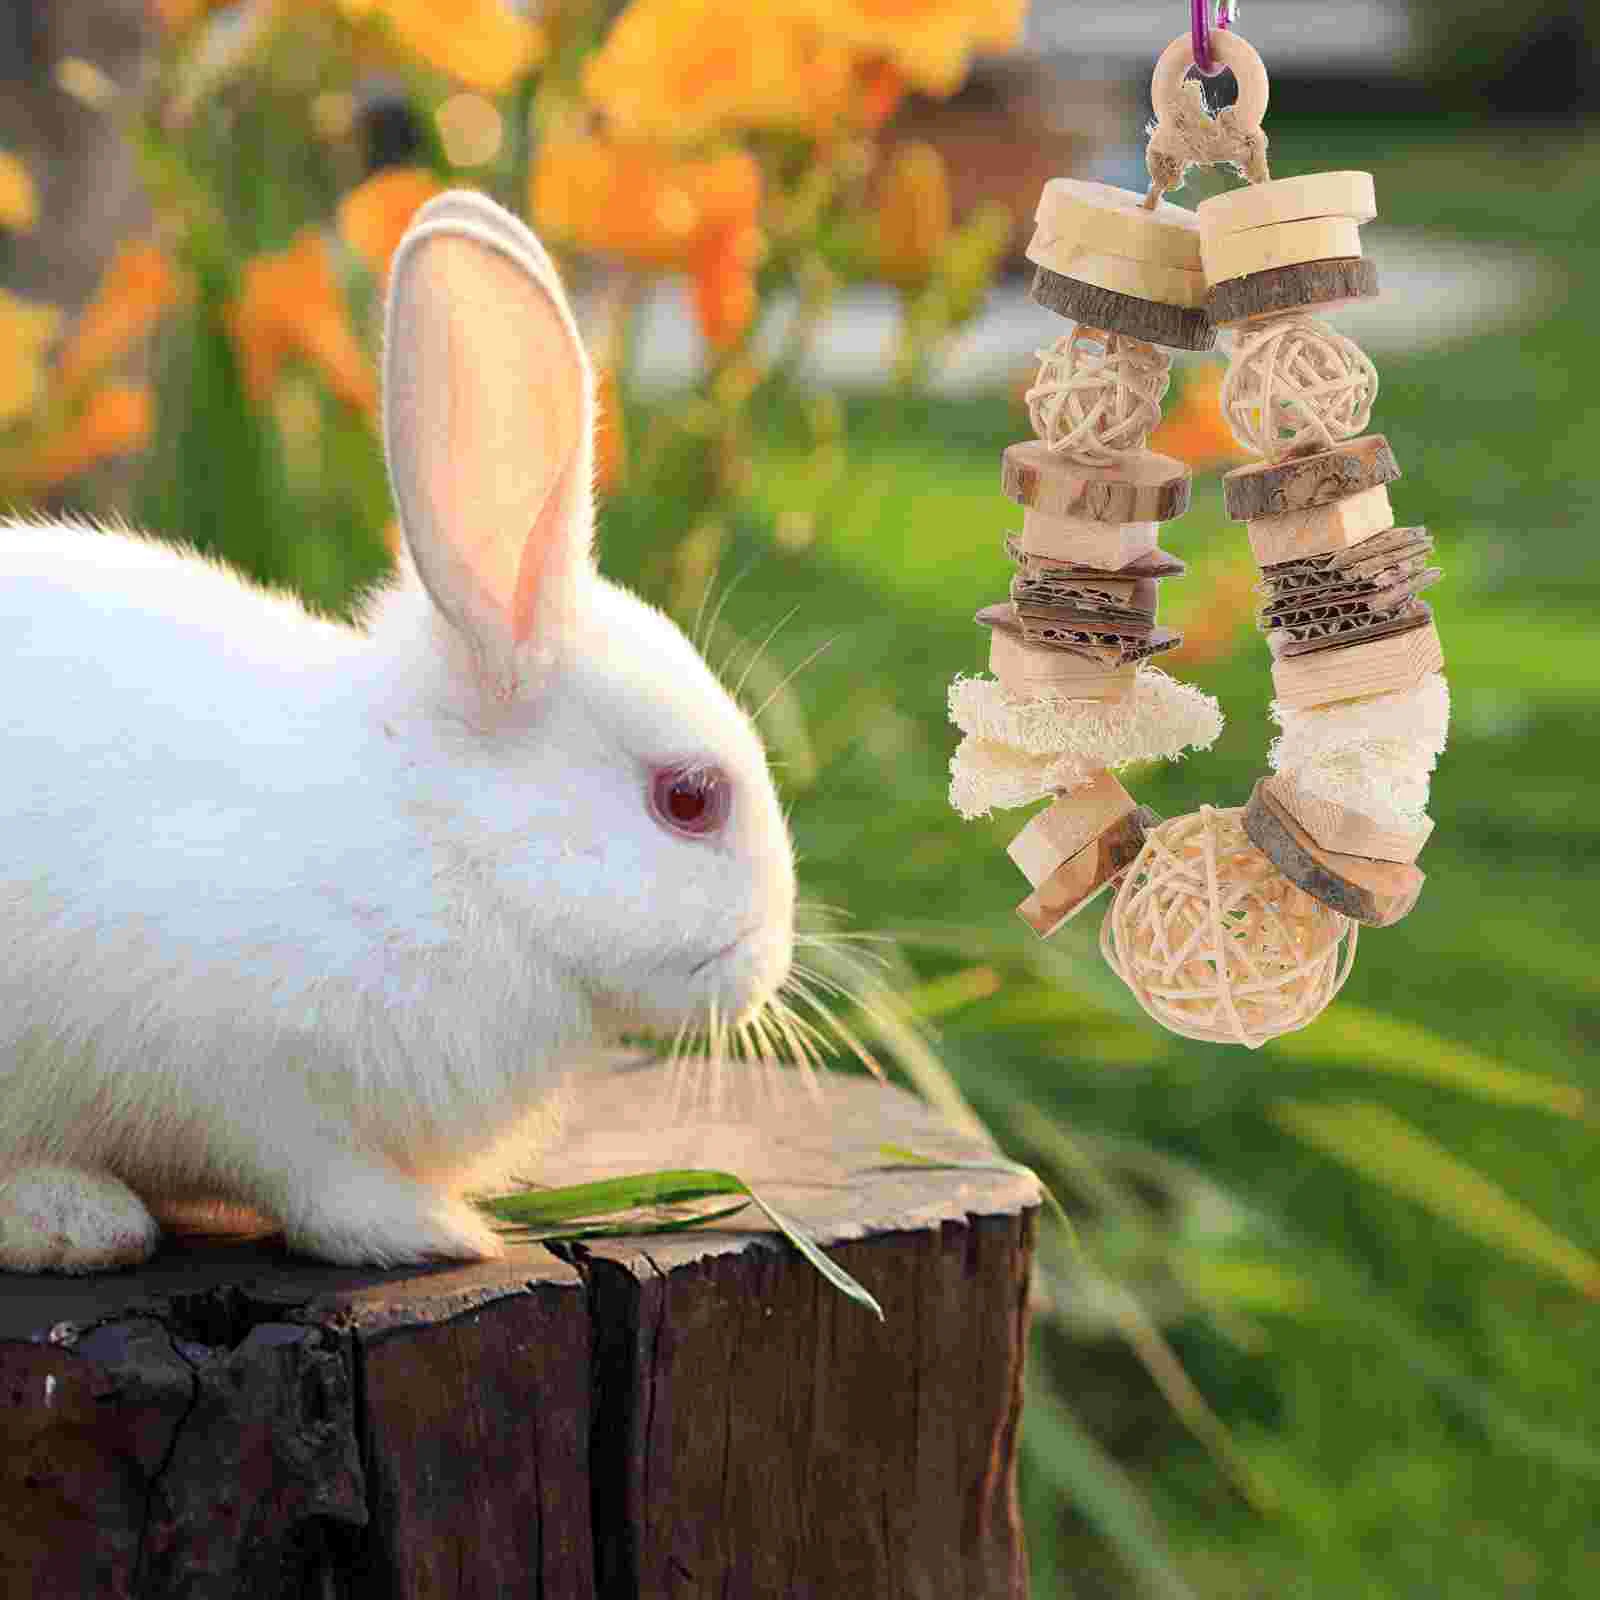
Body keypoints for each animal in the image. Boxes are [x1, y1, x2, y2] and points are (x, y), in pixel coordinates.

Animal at [0, 193, 796, 1273]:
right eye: (689, 799)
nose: (770, 968)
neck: (448, 842)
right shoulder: (255, 1076)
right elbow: (316, 1180)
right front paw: (436, 1230)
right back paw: (73, 1218)